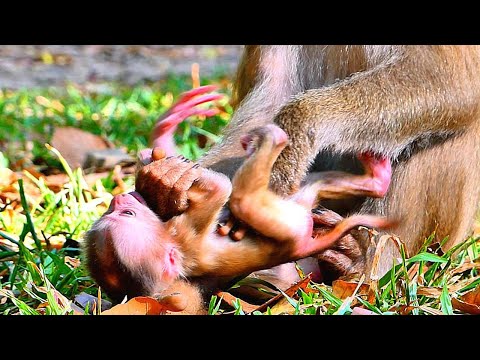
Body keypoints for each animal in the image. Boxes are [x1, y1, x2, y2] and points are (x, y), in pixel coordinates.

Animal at [84, 122, 390, 302]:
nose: (120, 199)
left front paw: (157, 163)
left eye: (117, 213)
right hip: (285, 221)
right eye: (127, 216)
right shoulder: (185, 236)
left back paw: (377, 179)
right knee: (245, 200)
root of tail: (303, 243)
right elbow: (219, 189)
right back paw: (275, 138)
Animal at [155, 45, 480, 280]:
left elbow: (456, 80)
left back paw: (367, 264)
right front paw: (177, 179)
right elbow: (270, 102)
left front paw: (299, 125)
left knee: (450, 129)